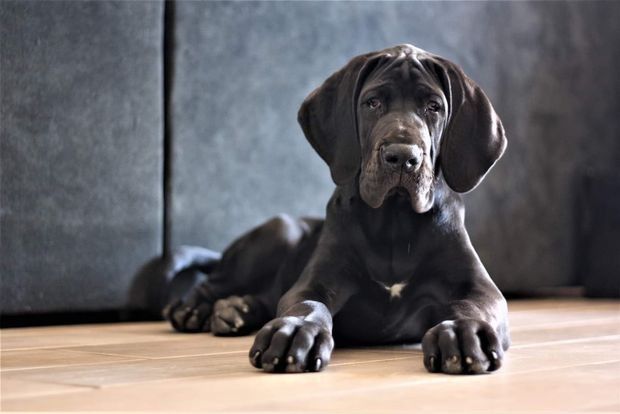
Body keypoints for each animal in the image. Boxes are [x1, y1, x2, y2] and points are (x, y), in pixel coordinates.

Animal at [162, 44, 510, 375]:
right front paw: (295, 330)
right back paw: (196, 309)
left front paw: (462, 331)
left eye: (433, 107)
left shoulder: (480, 289)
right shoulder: (316, 282)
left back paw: (237, 309)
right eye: (372, 103)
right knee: (214, 283)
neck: (394, 222)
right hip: (280, 230)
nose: (402, 156)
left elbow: (472, 307)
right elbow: (308, 304)